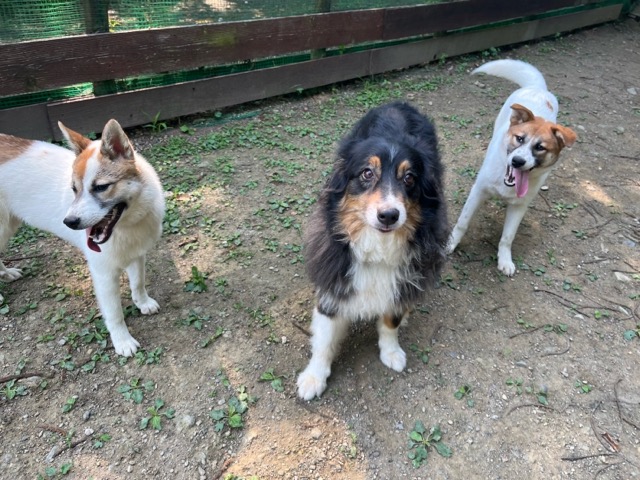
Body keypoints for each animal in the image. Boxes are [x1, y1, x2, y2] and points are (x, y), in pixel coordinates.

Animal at [0, 119, 165, 356]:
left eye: (101, 187)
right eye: (74, 189)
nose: (69, 222)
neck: (126, 225)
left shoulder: (136, 255)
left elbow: (138, 283)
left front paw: (142, 303)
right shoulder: (104, 274)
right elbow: (115, 313)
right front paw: (122, 341)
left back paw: (6, 273)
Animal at [297, 101, 448, 400]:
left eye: (409, 178)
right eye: (367, 173)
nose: (389, 215)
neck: (376, 247)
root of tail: (398, 103)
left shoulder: (403, 281)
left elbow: (391, 320)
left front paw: (391, 352)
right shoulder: (333, 281)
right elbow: (324, 336)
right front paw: (313, 377)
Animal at [447, 59, 577, 275]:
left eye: (540, 147)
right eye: (519, 138)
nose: (517, 161)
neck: (506, 183)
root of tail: (538, 88)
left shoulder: (519, 206)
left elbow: (508, 237)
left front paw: (505, 259)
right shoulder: (478, 192)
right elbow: (462, 223)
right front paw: (449, 244)